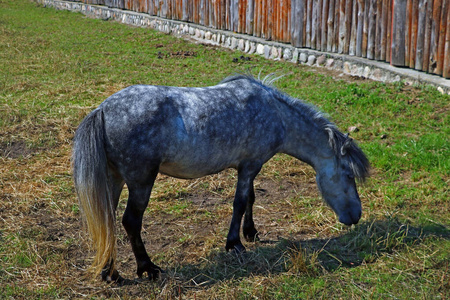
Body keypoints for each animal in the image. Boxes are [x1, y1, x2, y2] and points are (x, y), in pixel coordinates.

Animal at [73, 74, 370, 282]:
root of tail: (102, 110)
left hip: (114, 179)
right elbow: (239, 202)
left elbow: (250, 198)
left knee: (107, 221)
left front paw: (251, 233)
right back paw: (148, 268)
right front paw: (235, 243)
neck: (275, 113)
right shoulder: (250, 165)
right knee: (130, 222)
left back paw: (110, 273)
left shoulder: (249, 166)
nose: (356, 216)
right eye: (348, 174)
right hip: (141, 181)